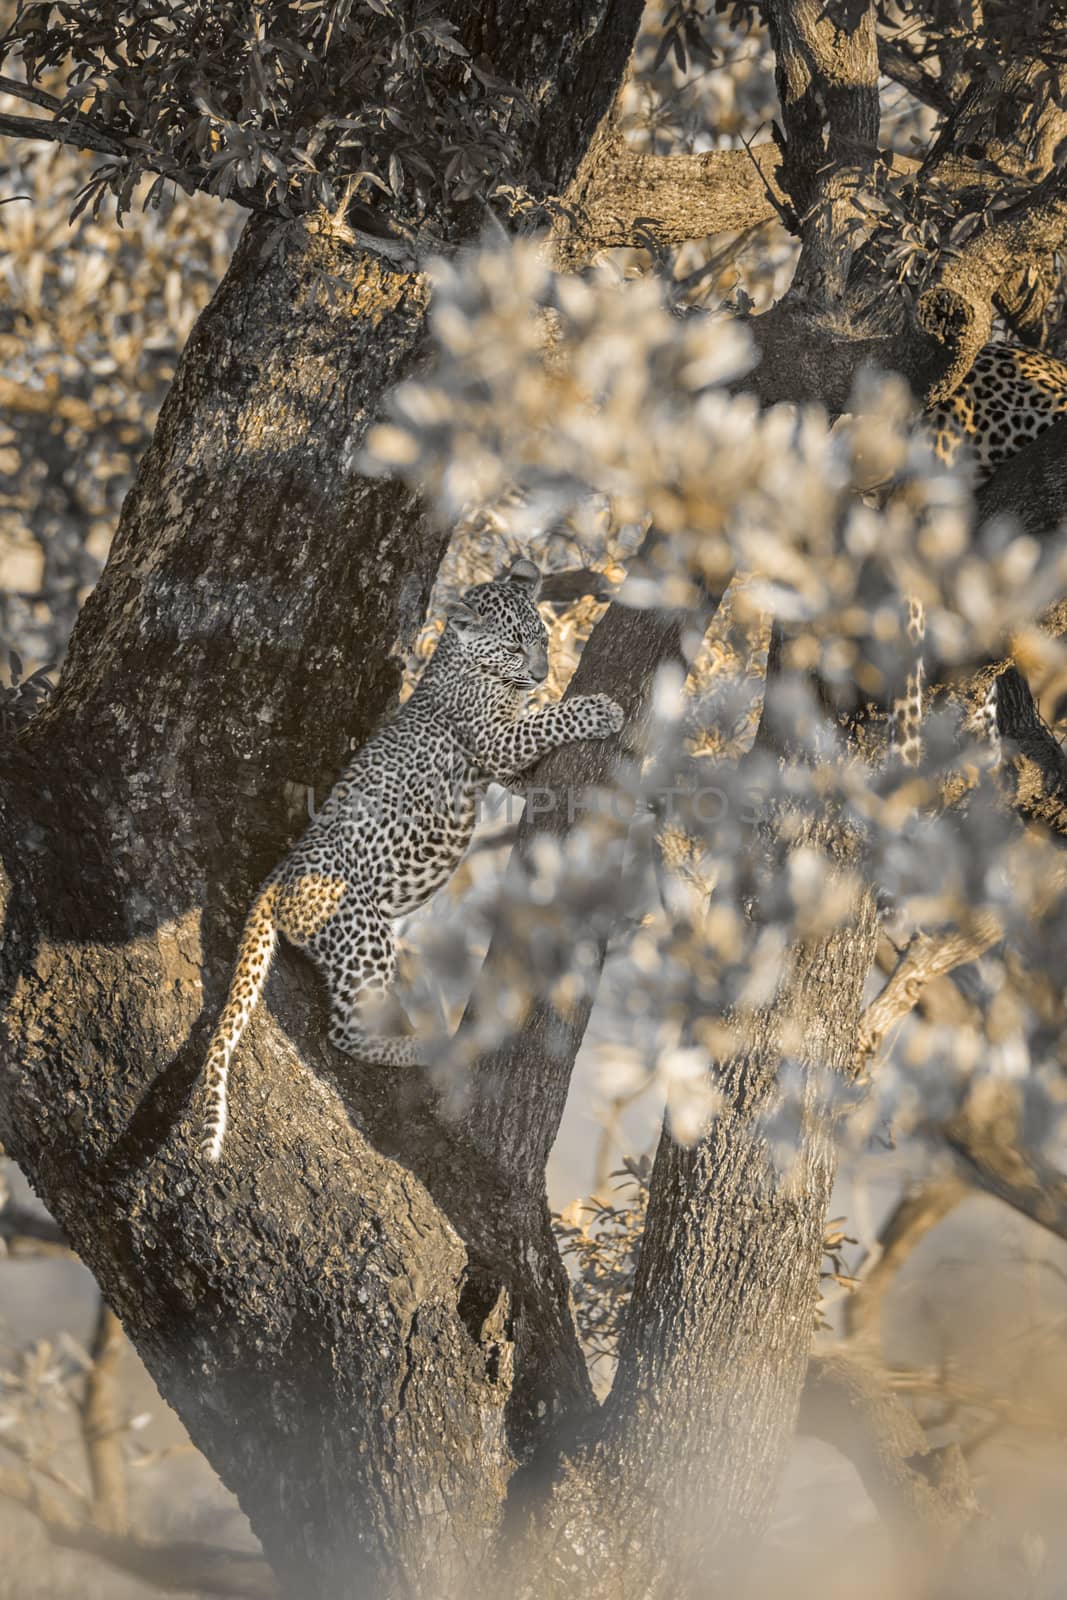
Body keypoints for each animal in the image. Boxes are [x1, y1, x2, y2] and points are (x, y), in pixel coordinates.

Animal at [198, 560, 627, 1164]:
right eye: (515, 647)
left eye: (543, 640)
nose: (544, 673)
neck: (466, 662)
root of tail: (277, 879)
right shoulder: (496, 739)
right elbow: (547, 721)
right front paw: (598, 709)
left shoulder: (503, 764)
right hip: (361, 932)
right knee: (346, 1032)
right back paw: (424, 1048)